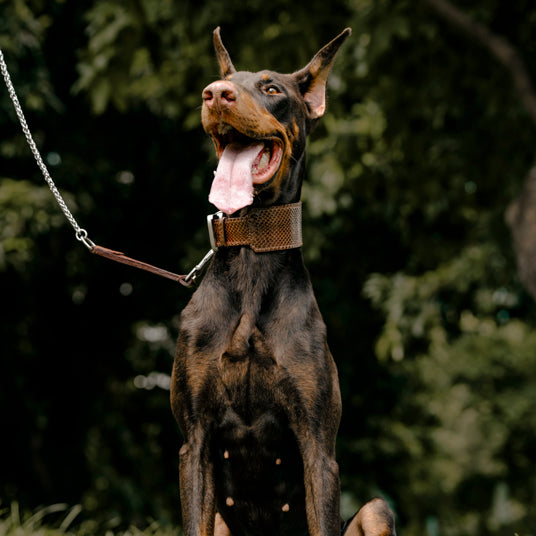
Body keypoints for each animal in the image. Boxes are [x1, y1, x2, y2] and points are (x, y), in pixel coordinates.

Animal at [170, 28, 396, 536]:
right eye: (222, 81)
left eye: (272, 88)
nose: (215, 94)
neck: (253, 247)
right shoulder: (194, 440)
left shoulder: (317, 444)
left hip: (375, 510)